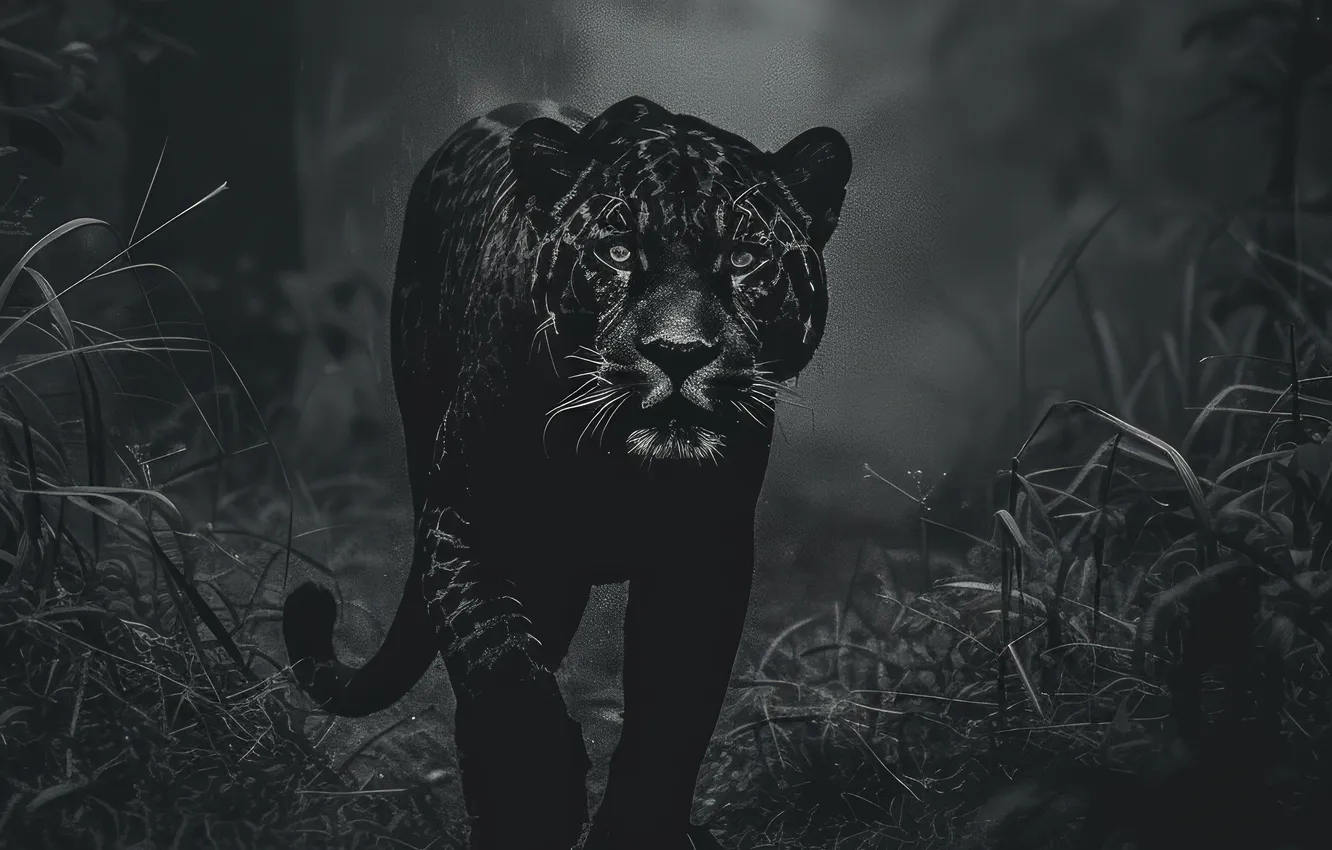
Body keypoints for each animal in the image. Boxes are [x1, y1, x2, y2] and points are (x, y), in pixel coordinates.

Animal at [282, 95, 851, 850]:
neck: (611, 464)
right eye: (618, 252)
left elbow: (672, 715)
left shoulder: (706, 554)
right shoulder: (468, 520)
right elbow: (500, 668)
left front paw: (635, 827)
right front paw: (542, 799)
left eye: (742, 257)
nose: (678, 352)